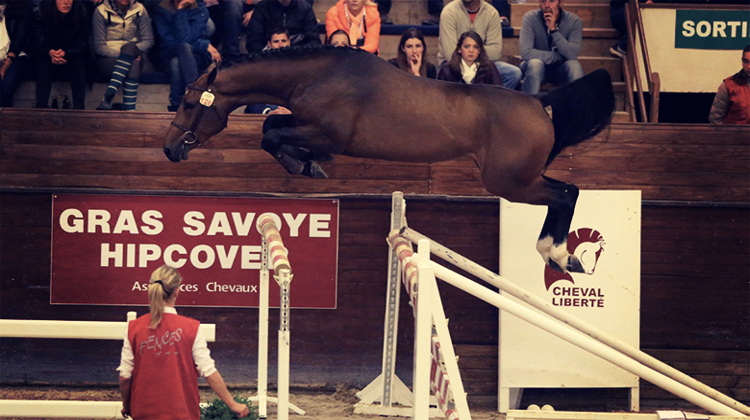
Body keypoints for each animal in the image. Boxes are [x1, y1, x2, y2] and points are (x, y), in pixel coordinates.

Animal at [164, 46, 616, 276]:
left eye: (189, 103)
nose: (169, 148)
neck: (315, 74)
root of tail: (540, 103)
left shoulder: (331, 133)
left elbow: (271, 135)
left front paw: (305, 163)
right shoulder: (306, 122)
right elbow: (271, 128)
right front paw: (307, 161)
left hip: (510, 182)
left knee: (566, 193)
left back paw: (557, 254)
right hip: (516, 180)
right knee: (564, 193)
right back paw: (558, 254)